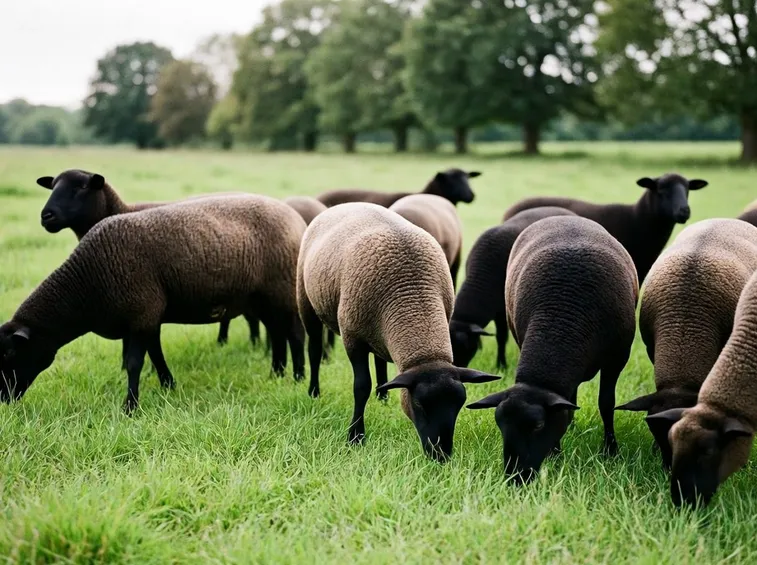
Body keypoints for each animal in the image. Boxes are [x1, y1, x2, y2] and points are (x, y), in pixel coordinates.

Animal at [0, 194, 307, 413]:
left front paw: (130, 407)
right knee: (277, 333)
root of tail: (295, 217)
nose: (3, 399)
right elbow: (156, 354)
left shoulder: (141, 313)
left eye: (10, 354)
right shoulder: (148, 316)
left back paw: (298, 377)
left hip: (283, 290)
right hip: (262, 298)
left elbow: (135, 362)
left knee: (294, 334)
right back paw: (277, 373)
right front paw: (168, 385)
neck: (87, 283)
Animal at [296, 203, 499, 460]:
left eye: (459, 405)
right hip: (306, 300)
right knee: (313, 349)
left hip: (375, 330)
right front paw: (355, 437)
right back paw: (314, 392)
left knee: (380, 358)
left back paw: (382, 396)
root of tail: (343, 205)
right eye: (419, 404)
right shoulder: (353, 338)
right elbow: (361, 387)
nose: (441, 456)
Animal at [467, 216, 639, 483]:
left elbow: (606, 403)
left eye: (538, 426)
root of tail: (566, 217)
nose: (515, 477)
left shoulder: (617, 358)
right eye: (500, 424)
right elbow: (563, 406)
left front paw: (611, 451)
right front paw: (556, 454)